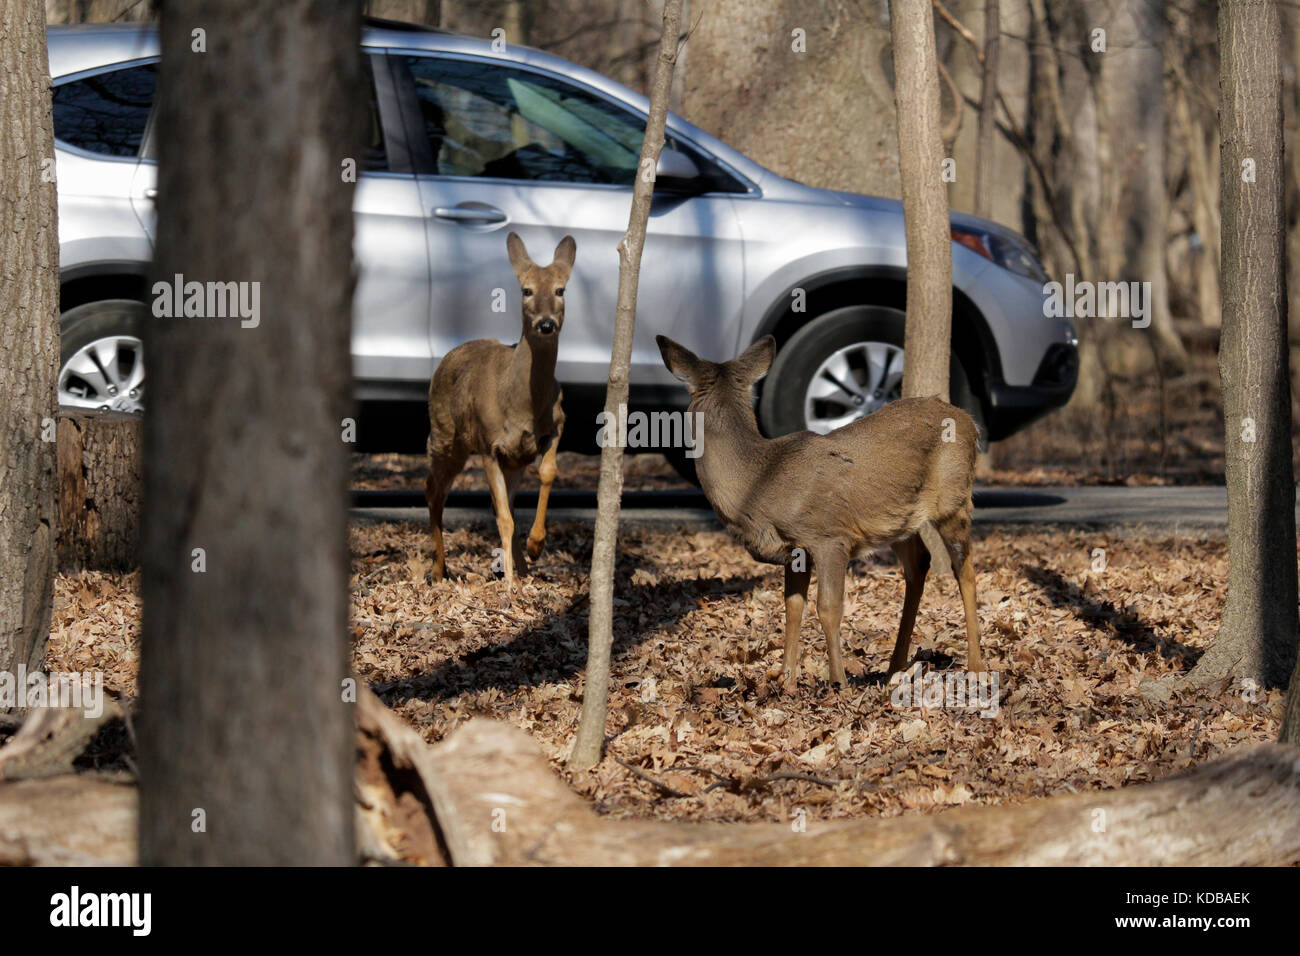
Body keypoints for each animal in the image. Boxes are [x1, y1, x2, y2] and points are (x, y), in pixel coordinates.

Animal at [426, 234, 574, 590]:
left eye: (561, 289)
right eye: (526, 290)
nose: (546, 324)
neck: (524, 404)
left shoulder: (555, 426)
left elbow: (547, 474)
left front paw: (536, 545)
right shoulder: (488, 444)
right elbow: (503, 517)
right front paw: (507, 584)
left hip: (510, 460)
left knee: (505, 503)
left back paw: (523, 567)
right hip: (446, 437)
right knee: (433, 490)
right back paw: (438, 571)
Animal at [660, 335, 982, 697]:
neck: (759, 483)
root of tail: (969, 422)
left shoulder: (830, 537)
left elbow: (828, 608)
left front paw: (838, 683)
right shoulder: (794, 550)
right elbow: (792, 607)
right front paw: (787, 683)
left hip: (954, 498)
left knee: (964, 568)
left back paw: (975, 667)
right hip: (898, 519)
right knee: (919, 564)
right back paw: (894, 669)